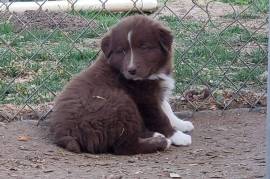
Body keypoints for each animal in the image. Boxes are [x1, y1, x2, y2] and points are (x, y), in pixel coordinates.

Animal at [50, 15, 194, 155]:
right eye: (122, 51)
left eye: (144, 47)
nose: (131, 70)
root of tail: (65, 135)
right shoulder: (145, 99)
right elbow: (160, 117)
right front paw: (177, 136)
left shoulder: (157, 92)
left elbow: (167, 108)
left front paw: (181, 124)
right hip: (120, 102)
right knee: (125, 146)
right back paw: (162, 142)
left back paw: (155, 135)